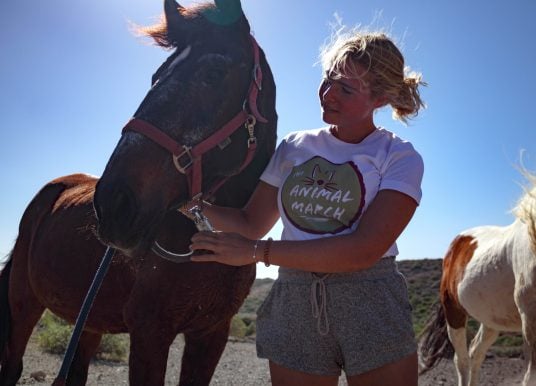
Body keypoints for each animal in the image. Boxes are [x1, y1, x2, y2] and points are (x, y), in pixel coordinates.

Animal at [0, 0, 276, 386]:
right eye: (155, 78)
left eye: (213, 73)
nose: (113, 204)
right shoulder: (150, 333)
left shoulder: (211, 335)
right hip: (24, 301)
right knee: (12, 365)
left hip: (89, 319)